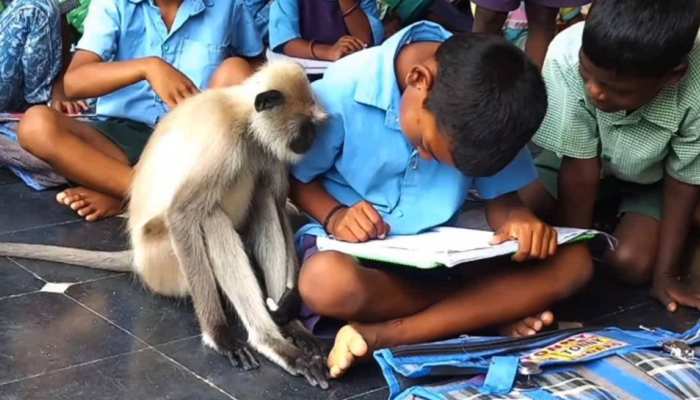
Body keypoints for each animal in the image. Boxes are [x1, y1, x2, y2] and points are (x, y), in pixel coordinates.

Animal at [0, 61, 330, 388]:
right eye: (305, 128)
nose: (312, 141)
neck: (242, 118)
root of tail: (137, 258)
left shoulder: (267, 148)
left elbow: (277, 203)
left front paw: (292, 310)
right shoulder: (223, 140)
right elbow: (182, 215)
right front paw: (219, 335)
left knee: (263, 199)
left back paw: (291, 331)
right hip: (164, 262)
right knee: (210, 217)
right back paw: (270, 343)